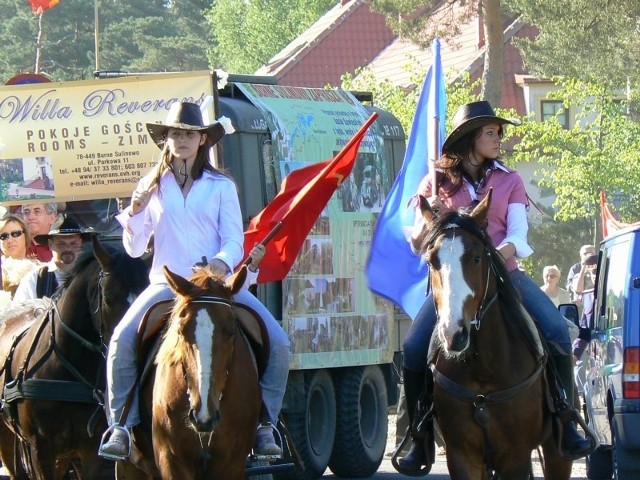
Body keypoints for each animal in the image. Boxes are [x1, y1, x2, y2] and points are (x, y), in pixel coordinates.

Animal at [412, 192, 572, 480]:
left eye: (476, 258)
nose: (453, 333)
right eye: (431, 261)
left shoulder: (515, 456)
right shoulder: (462, 456)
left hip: (557, 452)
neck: (483, 368)